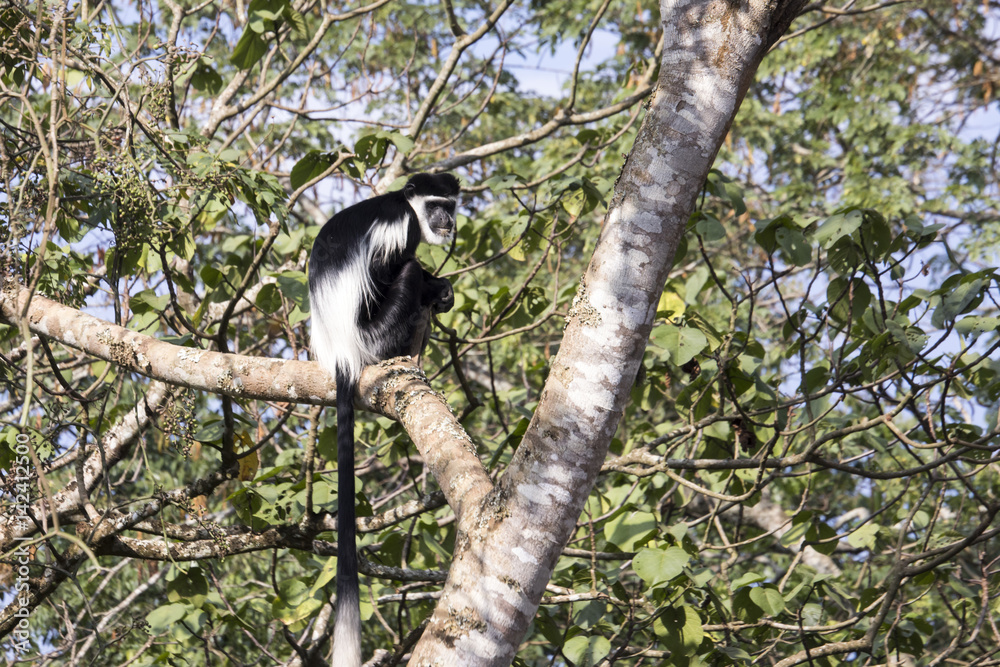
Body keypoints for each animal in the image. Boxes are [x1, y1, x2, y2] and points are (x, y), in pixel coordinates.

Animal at [308, 172, 459, 666]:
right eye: (435, 204)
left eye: (451, 205)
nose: (447, 220)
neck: (406, 205)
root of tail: (341, 354)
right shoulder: (399, 228)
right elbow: (395, 269)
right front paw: (435, 286)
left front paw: (443, 290)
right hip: (373, 333)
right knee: (404, 275)